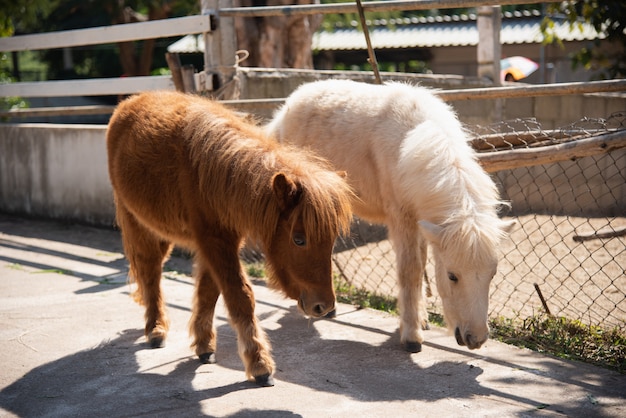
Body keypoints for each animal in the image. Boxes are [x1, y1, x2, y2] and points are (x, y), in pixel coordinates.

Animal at [105, 90, 354, 386]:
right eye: (299, 239)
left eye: (331, 240)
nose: (323, 306)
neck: (211, 173)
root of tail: (132, 101)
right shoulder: (214, 242)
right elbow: (240, 295)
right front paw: (259, 364)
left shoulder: (219, 242)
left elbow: (209, 292)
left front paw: (204, 346)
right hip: (141, 226)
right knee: (150, 273)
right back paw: (155, 330)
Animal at [266, 79, 516, 352]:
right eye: (452, 276)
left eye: (492, 274)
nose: (476, 339)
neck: (415, 140)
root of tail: (285, 111)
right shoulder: (402, 220)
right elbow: (410, 271)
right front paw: (411, 335)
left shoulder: (421, 222)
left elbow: (421, 264)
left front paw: (421, 320)